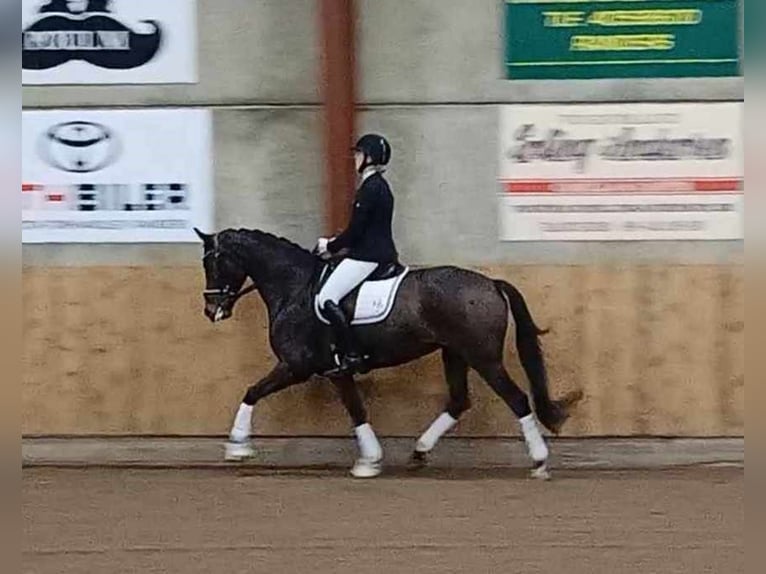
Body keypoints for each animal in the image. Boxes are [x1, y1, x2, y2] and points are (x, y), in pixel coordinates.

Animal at [194, 227, 584, 480]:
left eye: (213, 263)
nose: (212, 311)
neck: (294, 288)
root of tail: (491, 283)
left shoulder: (297, 366)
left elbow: (252, 392)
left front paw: (237, 448)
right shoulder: (334, 371)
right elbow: (356, 409)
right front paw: (371, 460)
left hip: (483, 357)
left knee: (516, 399)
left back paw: (539, 462)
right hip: (454, 353)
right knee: (459, 400)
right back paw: (420, 451)